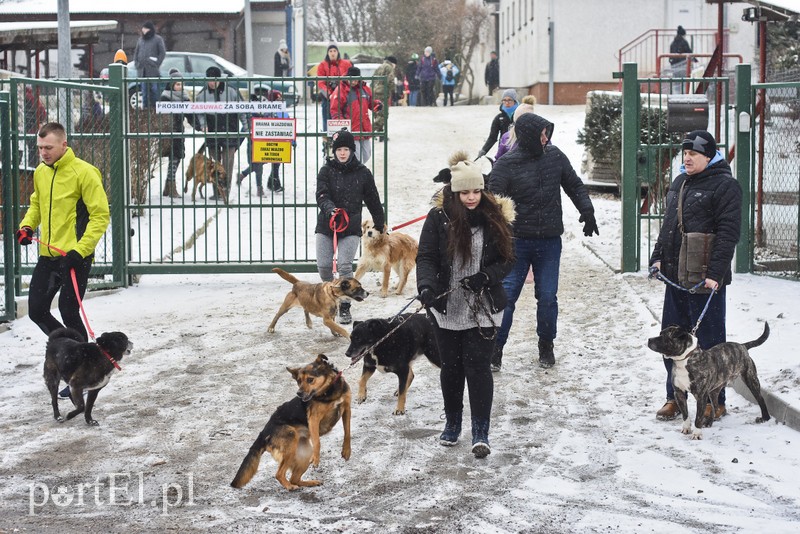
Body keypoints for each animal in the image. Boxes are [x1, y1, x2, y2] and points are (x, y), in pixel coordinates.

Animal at [230, 358, 352, 492]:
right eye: (298, 381)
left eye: (310, 379)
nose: (298, 393)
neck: (330, 391)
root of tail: (263, 433)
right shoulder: (314, 419)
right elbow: (317, 442)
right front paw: (316, 459)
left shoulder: (347, 410)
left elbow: (347, 432)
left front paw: (346, 451)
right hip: (290, 436)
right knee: (279, 474)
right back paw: (289, 486)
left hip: (304, 454)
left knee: (295, 478)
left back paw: (310, 482)